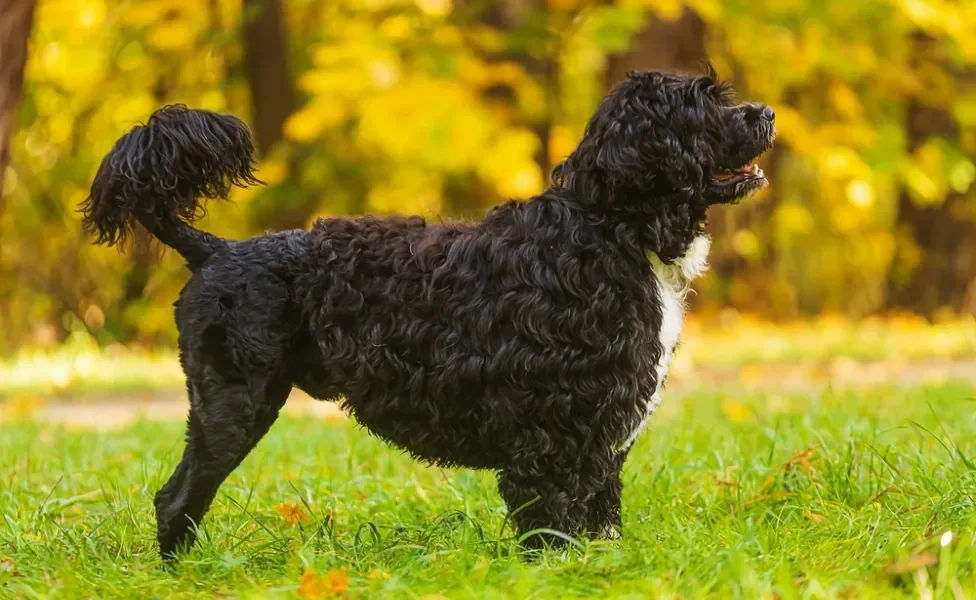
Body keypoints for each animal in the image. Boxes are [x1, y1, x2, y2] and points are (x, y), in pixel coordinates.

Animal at [78, 68, 776, 560]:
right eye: (704, 104)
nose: (766, 112)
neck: (609, 227)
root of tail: (215, 248)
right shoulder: (550, 437)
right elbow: (554, 528)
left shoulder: (600, 437)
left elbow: (598, 523)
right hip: (234, 403)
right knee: (176, 499)